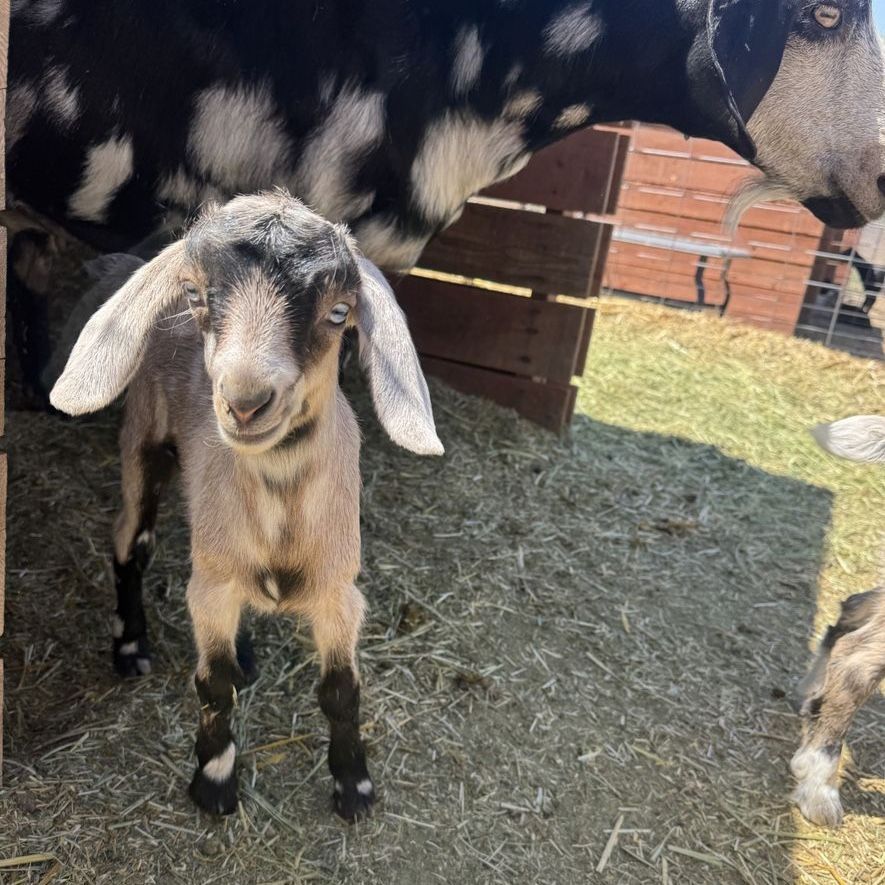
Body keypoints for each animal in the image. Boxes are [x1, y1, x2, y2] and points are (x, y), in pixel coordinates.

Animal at [49, 191, 444, 819]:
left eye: (339, 312)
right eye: (194, 294)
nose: (245, 402)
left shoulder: (339, 592)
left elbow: (342, 691)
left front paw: (354, 787)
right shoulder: (208, 589)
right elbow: (214, 684)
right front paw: (214, 781)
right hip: (143, 441)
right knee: (130, 541)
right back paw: (130, 645)